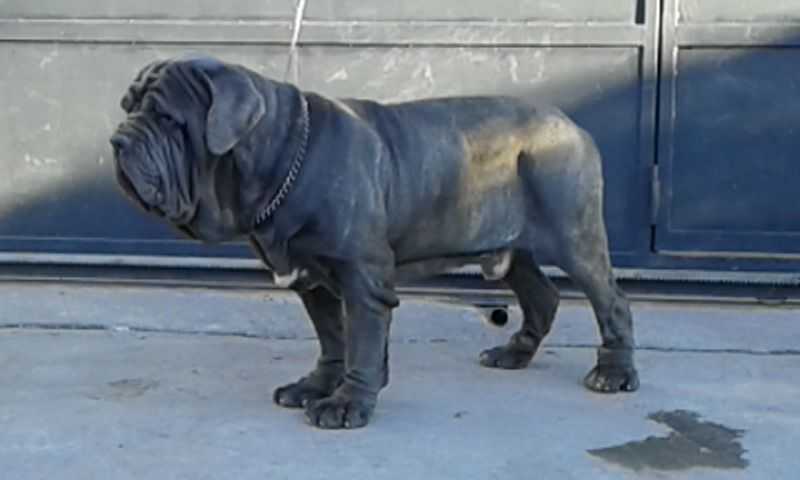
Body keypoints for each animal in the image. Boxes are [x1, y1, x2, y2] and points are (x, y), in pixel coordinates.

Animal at [111, 54, 636, 430]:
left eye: (166, 118)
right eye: (128, 108)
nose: (118, 139)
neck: (281, 158)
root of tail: (570, 122)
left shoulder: (361, 275)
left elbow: (361, 341)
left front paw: (348, 403)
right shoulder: (312, 278)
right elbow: (333, 337)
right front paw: (317, 385)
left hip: (574, 235)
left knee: (611, 301)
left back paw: (614, 374)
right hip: (513, 247)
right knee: (541, 295)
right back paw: (514, 354)